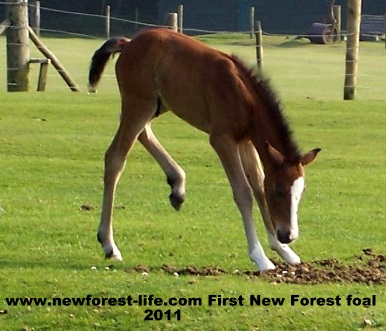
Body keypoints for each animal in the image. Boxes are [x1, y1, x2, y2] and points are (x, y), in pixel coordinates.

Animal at [88, 28, 320, 272]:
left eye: (301, 192)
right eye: (279, 190)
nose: (288, 235)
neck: (244, 95)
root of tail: (129, 44)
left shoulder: (246, 141)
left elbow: (258, 185)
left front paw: (283, 251)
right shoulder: (222, 140)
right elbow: (244, 192)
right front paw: (260, 257)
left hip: (159, 104)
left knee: (143, 132)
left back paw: (177, 186)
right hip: (140, 102)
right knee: (115, 157)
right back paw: (109, 245)